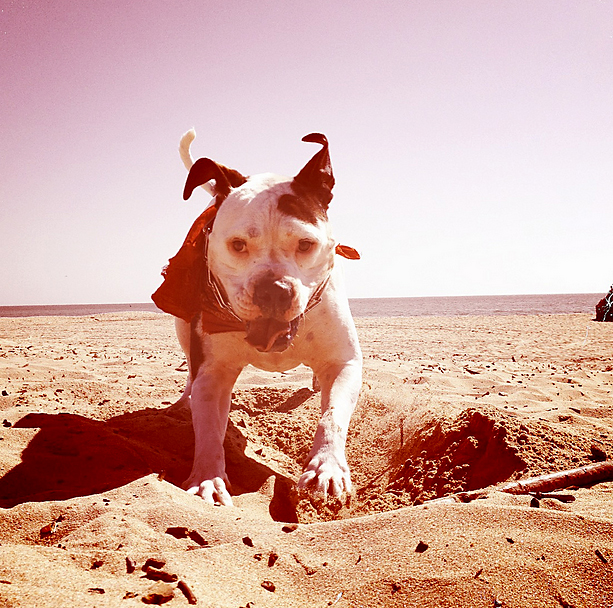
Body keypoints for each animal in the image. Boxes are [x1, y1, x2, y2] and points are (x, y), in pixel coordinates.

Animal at [152, 131, 360, 506]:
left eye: (305, 244)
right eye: (238, 245)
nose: (273, 290)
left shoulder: (344, 364)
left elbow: (332, 416)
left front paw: (327, 467)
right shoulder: (213, 375)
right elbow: (209, 430)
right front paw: (207, 479)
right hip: (184, 330)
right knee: (190, 374)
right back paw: (181, 403)